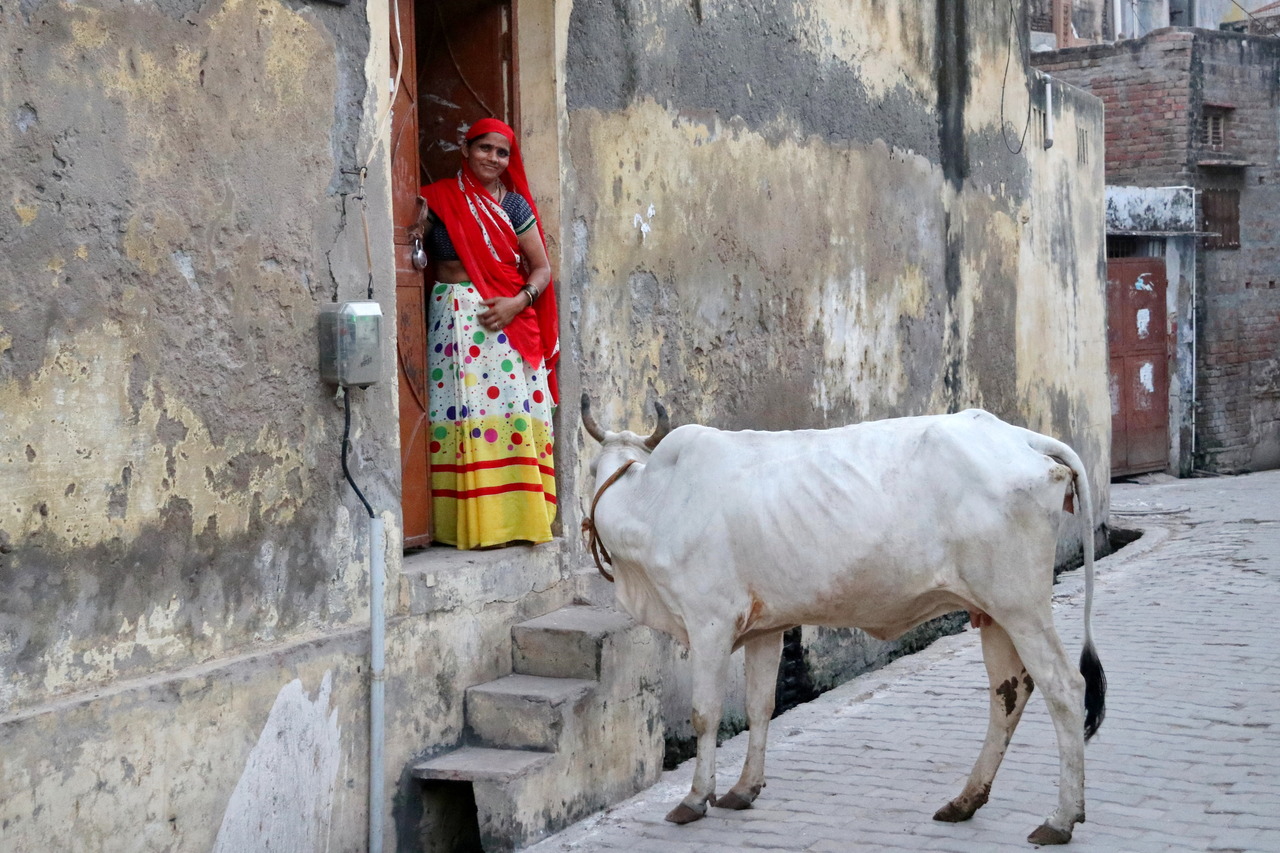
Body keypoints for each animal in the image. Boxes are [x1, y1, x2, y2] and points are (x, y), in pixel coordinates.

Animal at [580, 396, 1106, 846]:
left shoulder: (709, 623)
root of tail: (1020, 437)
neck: (654, 502)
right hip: (993, 611)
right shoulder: (766, 628)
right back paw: (964, 801)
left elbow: (704, 713)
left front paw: (694, 798)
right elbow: (759, 707)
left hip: (1022, 606)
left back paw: (1060, 819)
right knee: (1009, 694)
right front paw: (744, 789)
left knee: (1065, 689)